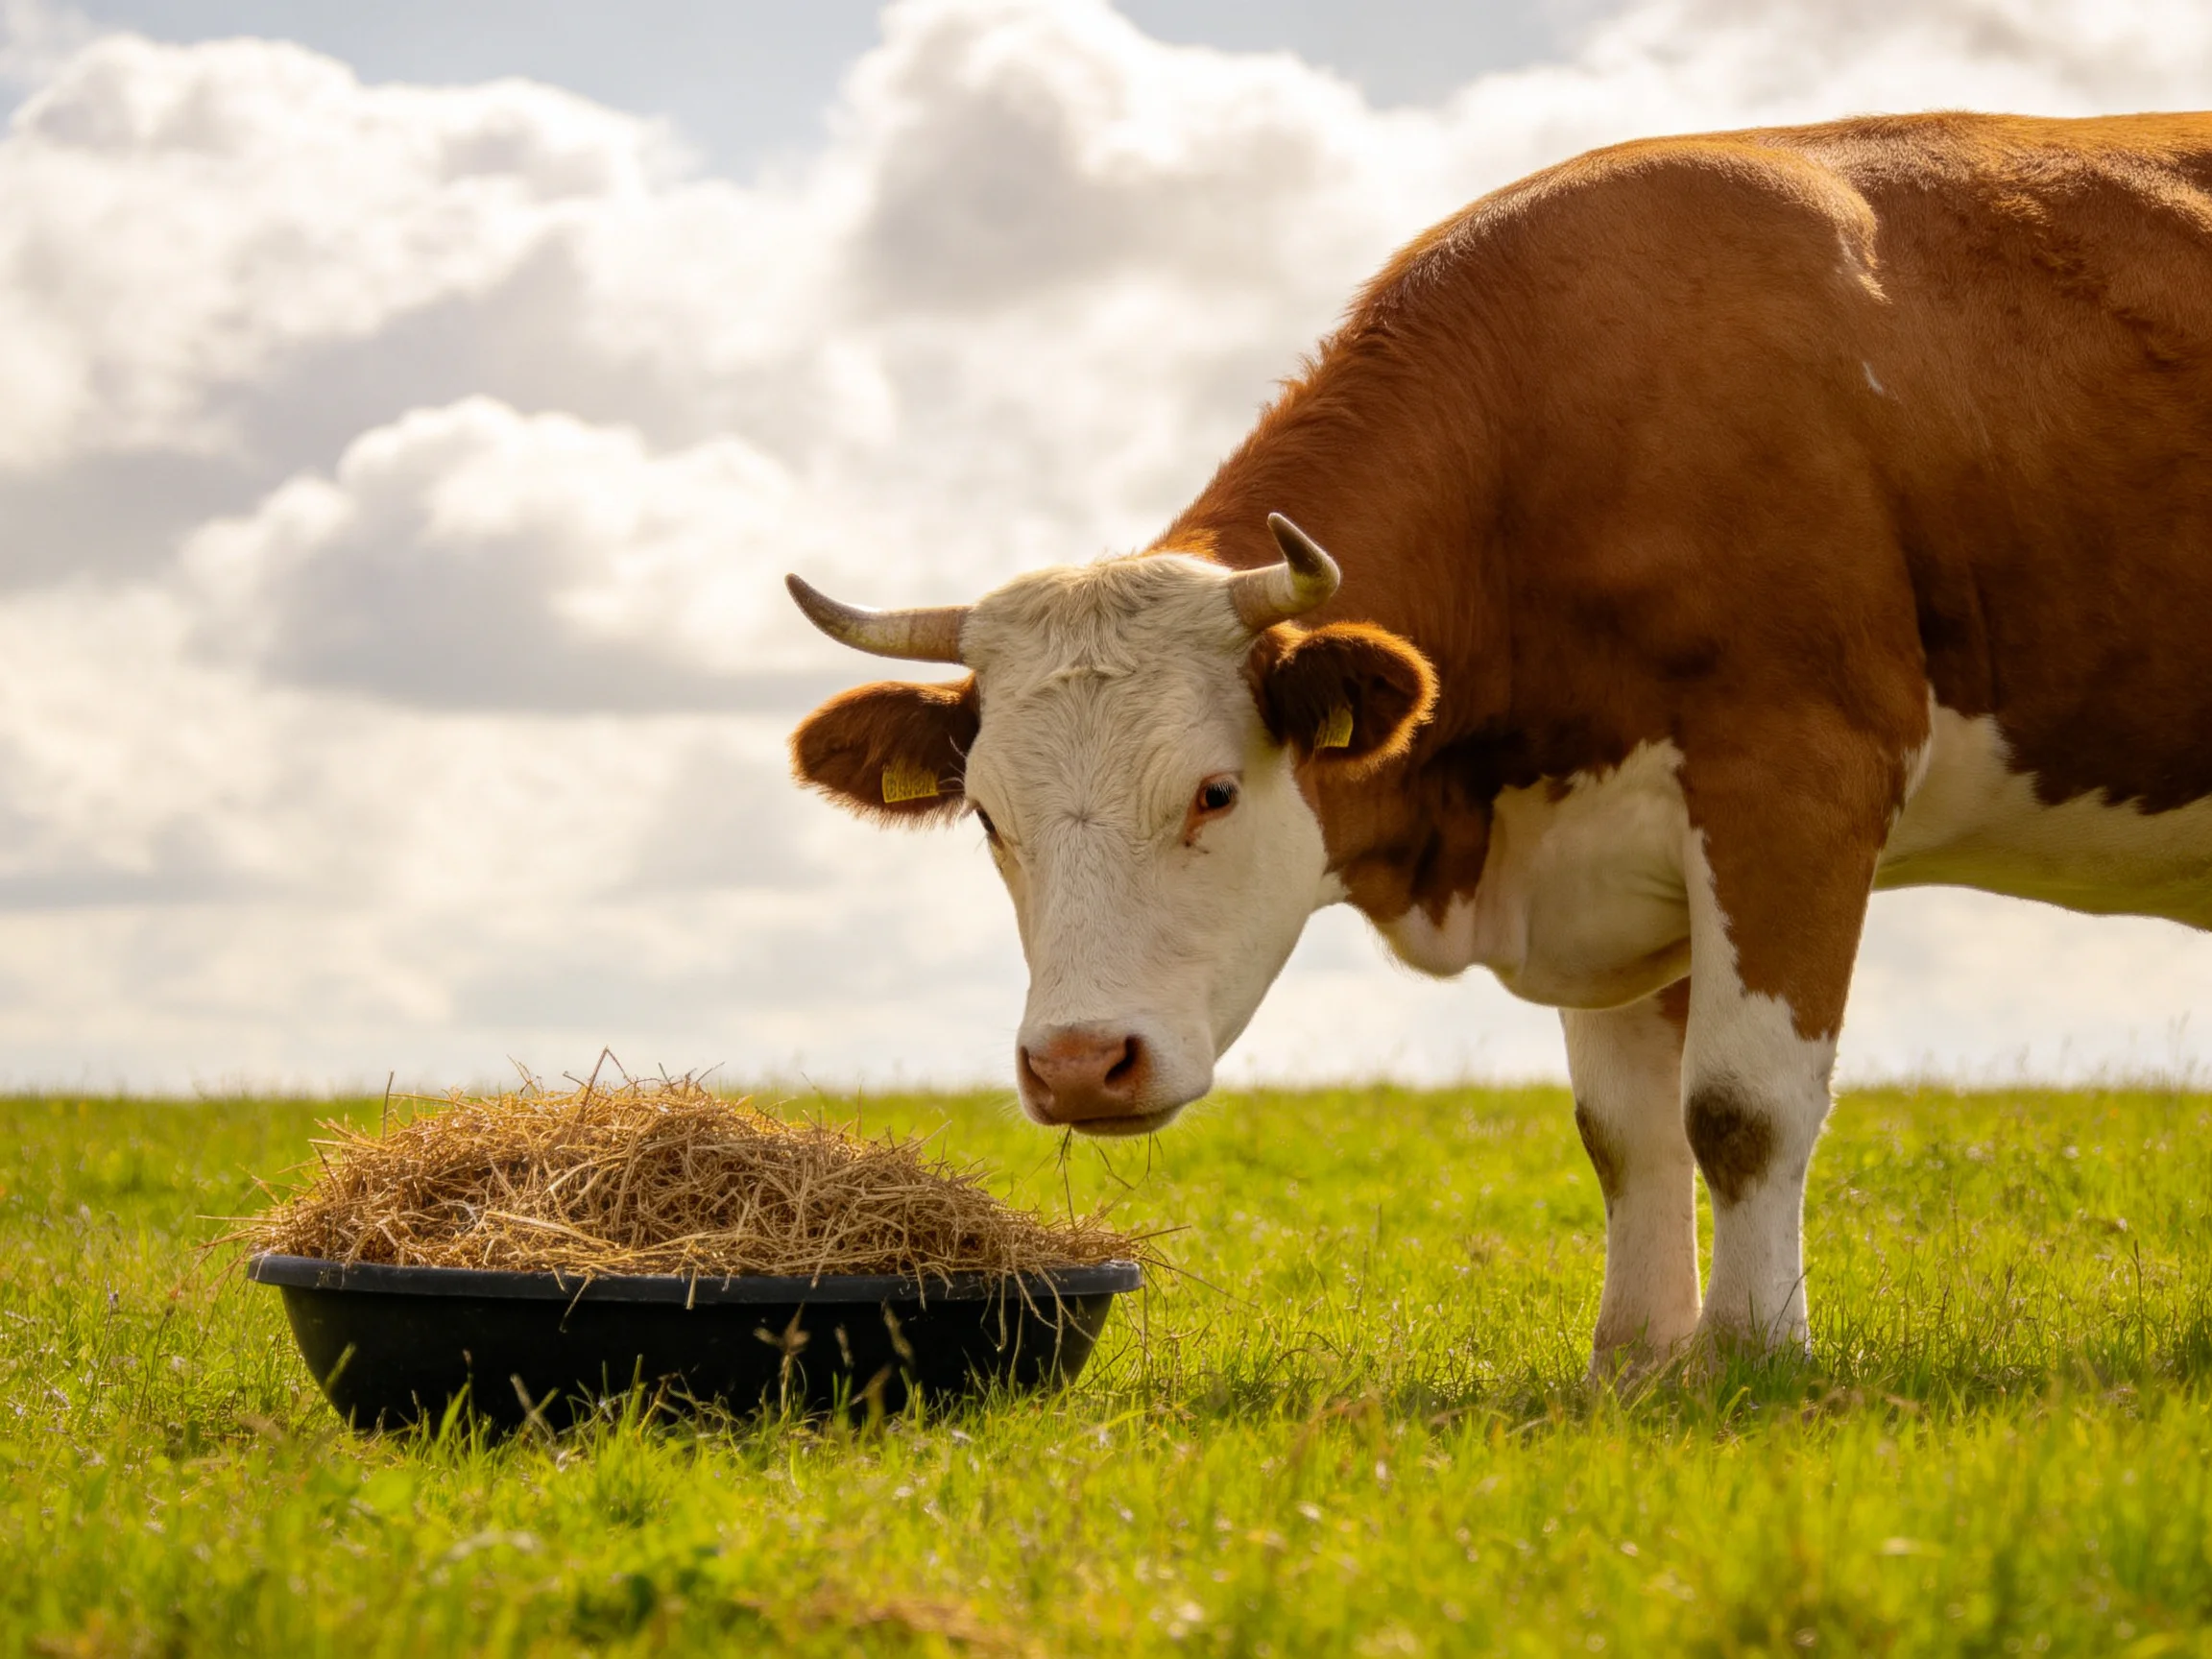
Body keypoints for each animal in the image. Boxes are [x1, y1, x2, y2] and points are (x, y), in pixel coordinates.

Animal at [785, 111, 2212, 1373]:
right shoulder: (1611, 845)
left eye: (1214, 793)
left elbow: (1741, 1106)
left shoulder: (1797, 775)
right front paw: (1635, 1366)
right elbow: (1627, 1130)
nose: (1080, 1064)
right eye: (989, 817)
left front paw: (1754, 1363)